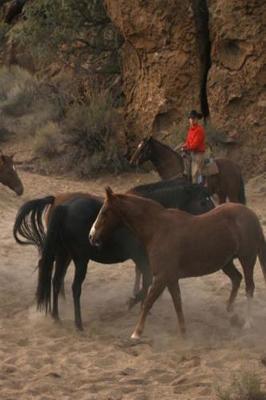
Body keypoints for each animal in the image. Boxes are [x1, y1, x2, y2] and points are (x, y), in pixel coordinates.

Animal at [14, 178, 214, 328]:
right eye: (203, 201)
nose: (213, 216)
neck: (150, 217)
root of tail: (62, 205)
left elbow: (145, 281)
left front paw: (142, 306)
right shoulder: (141, 257)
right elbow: (147, 281)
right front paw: (134, 303)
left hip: (64, 254)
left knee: (55, 280)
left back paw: (56, 316)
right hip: (80, 259)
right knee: (73, 286)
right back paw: (78, 323)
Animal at [90, 189, 266, 340]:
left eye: (104, 212)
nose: (92, 236)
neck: (157, 229)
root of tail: (251, 215)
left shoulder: (162, 277)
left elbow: (148, 302)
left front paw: (136, 333)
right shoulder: (171, 278)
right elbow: (177, 303)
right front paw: (183, 332)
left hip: (247, 258)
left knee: (249, 287)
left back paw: (247, 323)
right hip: (226, 262)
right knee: (237, 278)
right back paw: (230, 311)